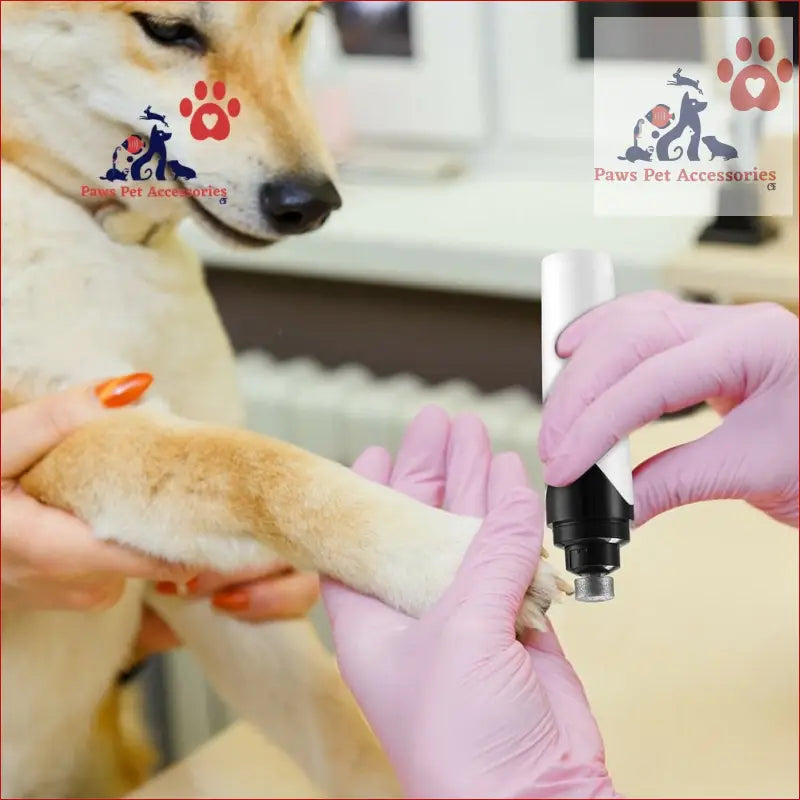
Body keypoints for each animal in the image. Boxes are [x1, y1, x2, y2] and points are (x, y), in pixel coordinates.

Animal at [0, 3, 564, 796]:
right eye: (167, 28)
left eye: (300, 25)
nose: (311, 203)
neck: (99, 236)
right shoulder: (72, 436)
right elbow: (261, 469)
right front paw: (449, 560)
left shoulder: (210, 590)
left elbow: (337, 726)